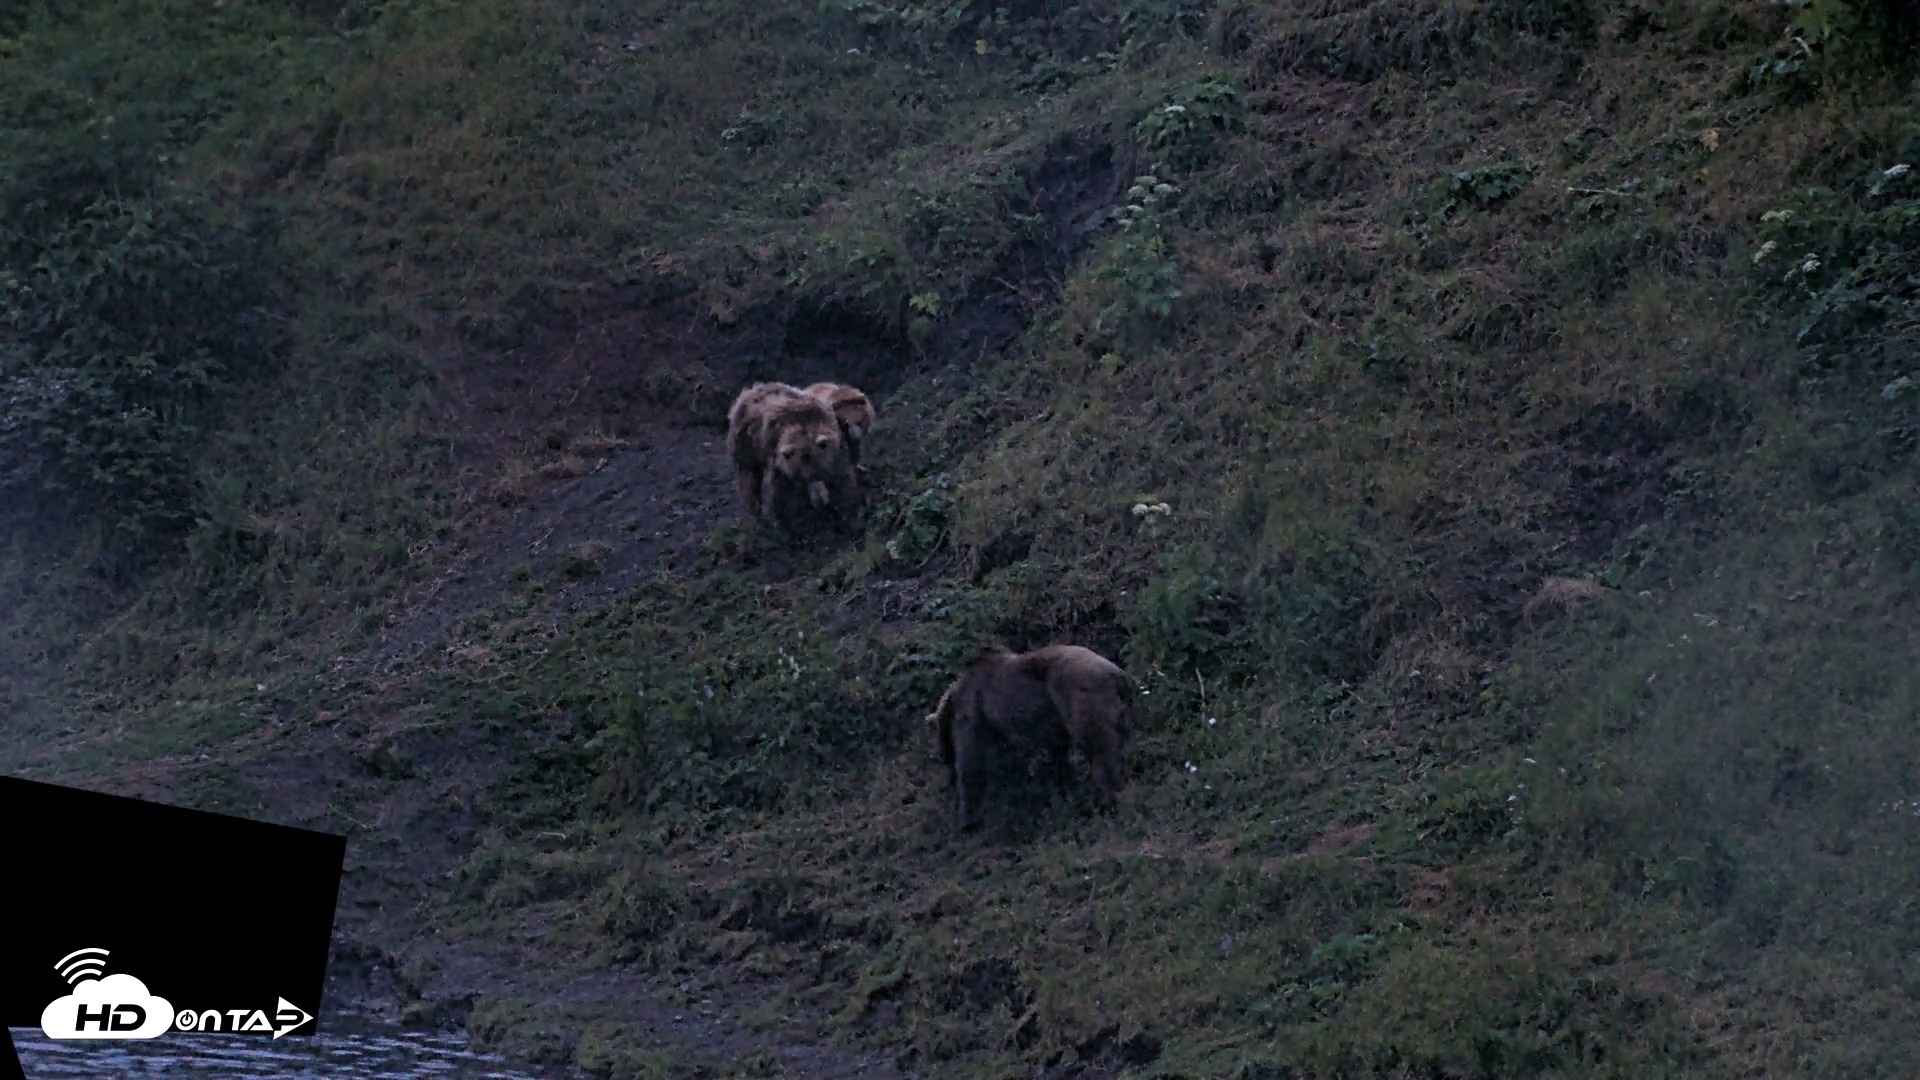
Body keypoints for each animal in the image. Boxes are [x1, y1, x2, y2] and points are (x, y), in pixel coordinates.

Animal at [725, 382, 862, 536]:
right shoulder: (779, 461)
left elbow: (844, 480)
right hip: (745, 444)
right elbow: (779, 493)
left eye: (819, 473)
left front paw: (850, 519)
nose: (820, 501)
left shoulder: (835, 451)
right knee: (748, 477)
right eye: (801, 476)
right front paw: (785, 526)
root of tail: (751, 390)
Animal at [928, 642, 1137, 834]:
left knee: (1100, 750)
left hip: (1081, 695)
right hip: (1119, 711)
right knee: (1118, 745)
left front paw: (966, 821)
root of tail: (1118, 674)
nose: (947, 781)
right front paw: (1063, 786)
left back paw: (1108, 801)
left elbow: (971, 761)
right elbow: (1058, 752)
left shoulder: (973, 711)